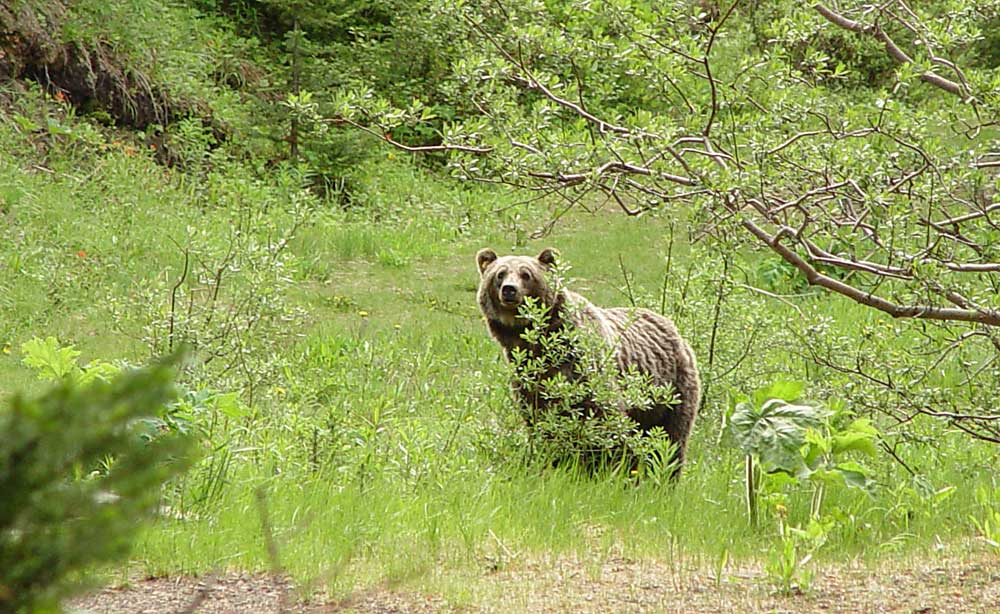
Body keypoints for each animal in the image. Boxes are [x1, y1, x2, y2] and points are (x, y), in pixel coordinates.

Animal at [478, 248, 704, 474]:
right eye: (499, 274)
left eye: (526, 274)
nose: (509, 290)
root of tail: (671, 326)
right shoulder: (528, 377)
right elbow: (542, 420)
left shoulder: (583, 366)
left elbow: (605, 417)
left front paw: (605, 465)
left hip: (672, 388)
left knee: (670, 437)